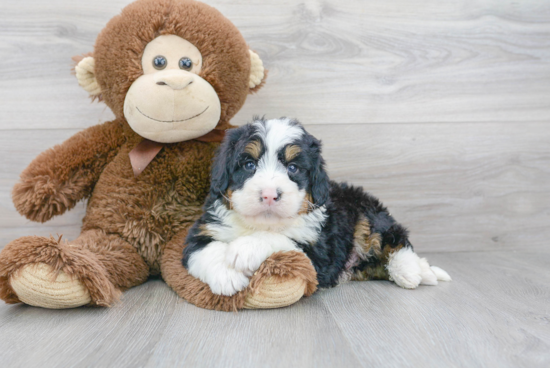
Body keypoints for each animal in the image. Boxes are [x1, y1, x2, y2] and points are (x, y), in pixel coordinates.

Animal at [183, 118, 450, 296]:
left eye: (293, 168)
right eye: (249, 165)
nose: (269, 195)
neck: (261, 223)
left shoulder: (318, 252)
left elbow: (279, 240)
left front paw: (245, 248)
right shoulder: (202, 230)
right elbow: (203, 250)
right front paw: (226, 275)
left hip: (369, 215)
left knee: (396, 239)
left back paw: (409, 271)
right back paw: (423, 271)